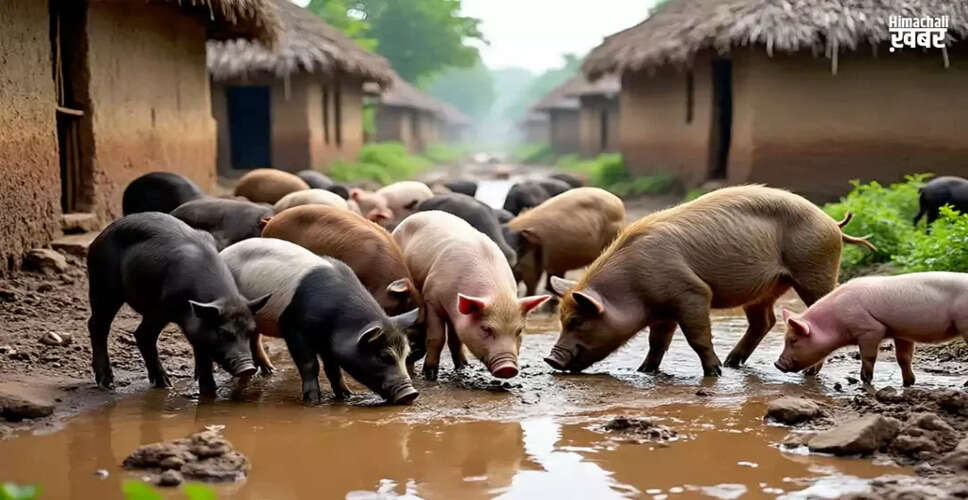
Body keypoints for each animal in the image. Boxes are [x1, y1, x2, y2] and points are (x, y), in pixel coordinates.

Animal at [87, 213, 269, 396]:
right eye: (223, 333)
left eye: (250, 332)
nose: (248, 368)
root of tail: (99, 237)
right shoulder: (160, 308)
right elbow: (143, 335)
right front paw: (174, 387)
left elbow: (202, 353)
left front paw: (208, 392)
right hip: (104, 287)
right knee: (98, 326)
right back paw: (109, 383)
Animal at [221, 238, 419, 404]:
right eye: (384, 356)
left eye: (406, 354)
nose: (411, 394)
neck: (336, 321)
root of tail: (223, 252)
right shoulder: (293, 327)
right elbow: (310, 364)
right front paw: (313, 400)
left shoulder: (328, 343)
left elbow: (333, 369)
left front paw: (346, 396)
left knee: (254, 339)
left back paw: (270, 371)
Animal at [393, 211, 550, 380]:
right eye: (486, 328)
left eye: (519, 330)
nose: (508, 368)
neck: (497, 294)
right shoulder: (431, 300)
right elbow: (437, 338)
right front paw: (430, 375)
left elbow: (456, 339)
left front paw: (463, 368)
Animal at [545, 186, 877, 377]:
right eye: (562, 321)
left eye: (577, 321)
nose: (550, 359)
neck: (633, 287)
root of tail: (832, 222)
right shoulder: (663, 310)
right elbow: (657, 341)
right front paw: (645, 371)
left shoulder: (691, 293)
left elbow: (697, 336)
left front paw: (713, 373)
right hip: (767, 287)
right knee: (764, 321)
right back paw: (733, 363)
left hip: (815, 269)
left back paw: (805, 374)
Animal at [775, 272, 968, 387]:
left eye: (794, 340)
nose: (777, 364)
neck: (836, 321)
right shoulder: (901, 333)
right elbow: (903, 358)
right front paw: (908, 383)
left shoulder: (870, 330)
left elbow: (868, 358)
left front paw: (866, 383)